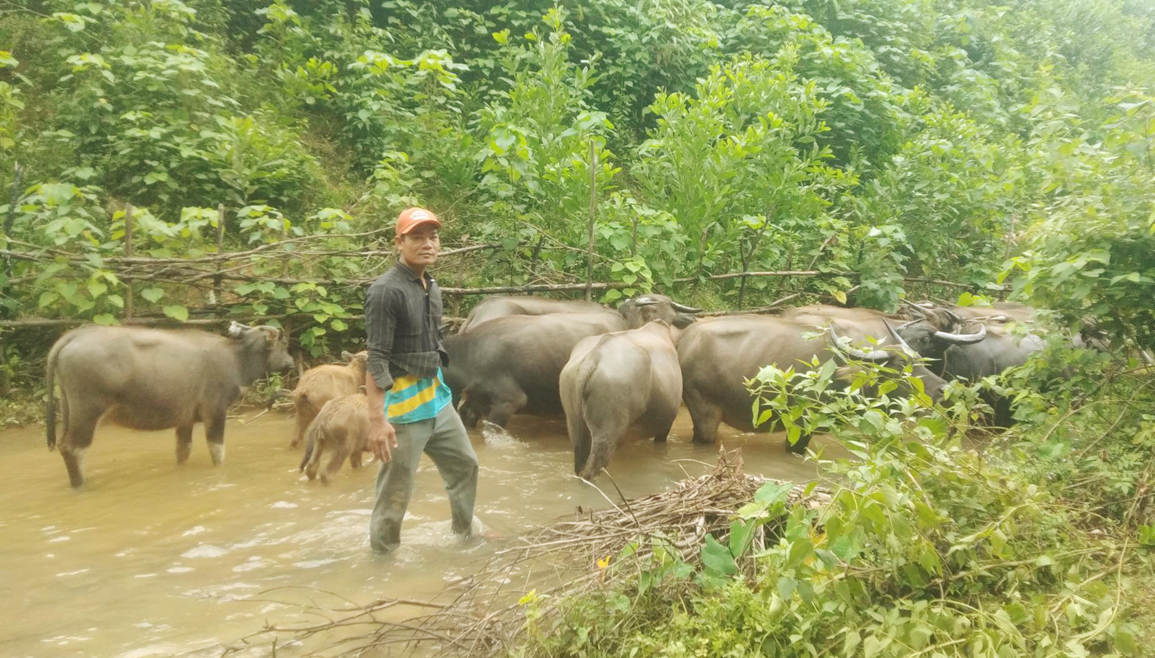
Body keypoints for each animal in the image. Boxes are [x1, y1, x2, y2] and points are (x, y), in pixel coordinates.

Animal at [46, 320, 293, 484]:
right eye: (283, 343)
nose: (290, 362)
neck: (236, 359)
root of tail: (76, 335)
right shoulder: (215, 412)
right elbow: (218, 452)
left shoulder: (185, 419)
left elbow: (183, 450)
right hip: (88, 410)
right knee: (74, 449)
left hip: (68, 408)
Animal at [561, 320, 679, 477]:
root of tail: (592, 359)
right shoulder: (665, 426)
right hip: (608, 427)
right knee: (593, 467)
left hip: (573, 420)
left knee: (579, 462)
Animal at [674, 311, 947, 450]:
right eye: (900, 367)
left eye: (918, 359)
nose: (942, 389)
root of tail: (684, 340)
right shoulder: (801, 426)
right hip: (705, 414)